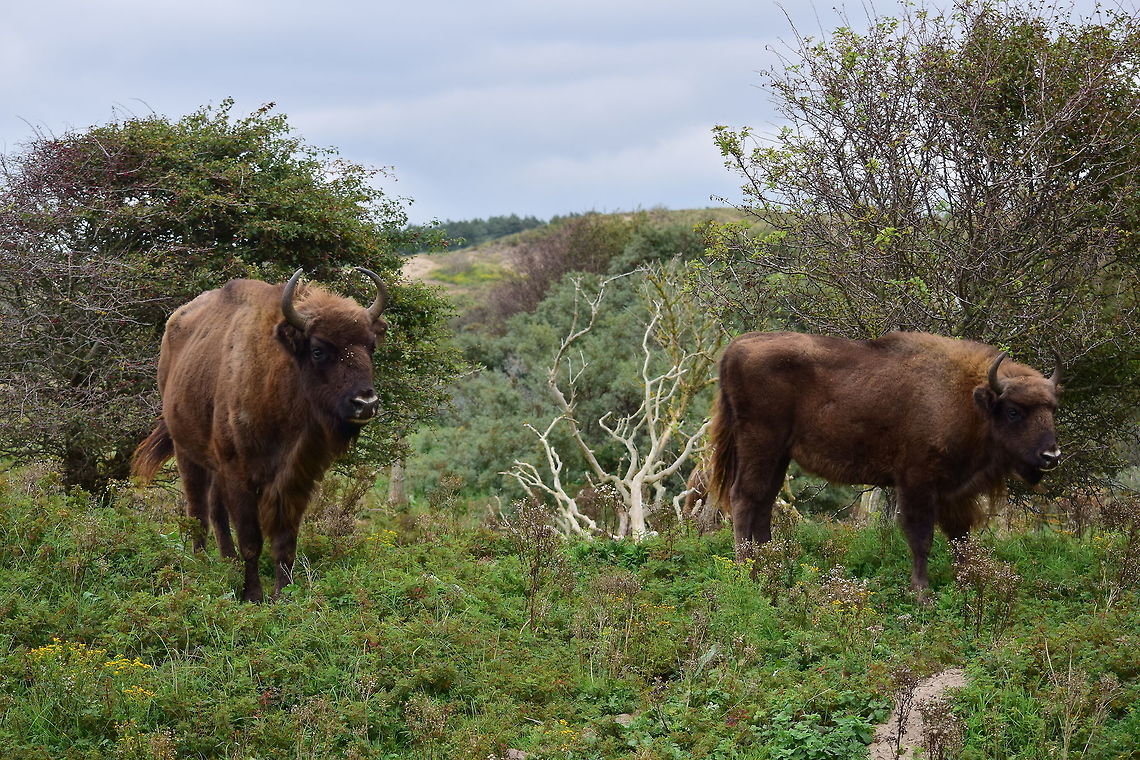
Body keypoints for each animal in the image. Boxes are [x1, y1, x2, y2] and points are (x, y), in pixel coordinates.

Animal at [132, 268, 388, 601]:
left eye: (370, 346)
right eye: (318, 349)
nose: (365, 402)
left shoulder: (294, 477)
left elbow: (285, 539)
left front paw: (284, 594)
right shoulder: (239, 474)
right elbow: (251, 540)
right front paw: (253, 595)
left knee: (215, 510)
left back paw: (227, 563)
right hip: (186, 451)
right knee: (198, 509)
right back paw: (201, 563)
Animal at [708, 331, 1061, 591]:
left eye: (1052, 409)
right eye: (1014, 411)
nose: (1051, 456)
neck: (966, 397)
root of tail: (736, 347)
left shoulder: (955, 491)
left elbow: (961, 539)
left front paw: (969, 584)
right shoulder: (917, 481)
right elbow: (921, 537)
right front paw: (922, 594)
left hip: (779, 454)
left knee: (764, 502)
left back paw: (771, 565)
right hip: (760, 444)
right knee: (746, 497)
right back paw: (748, 571)